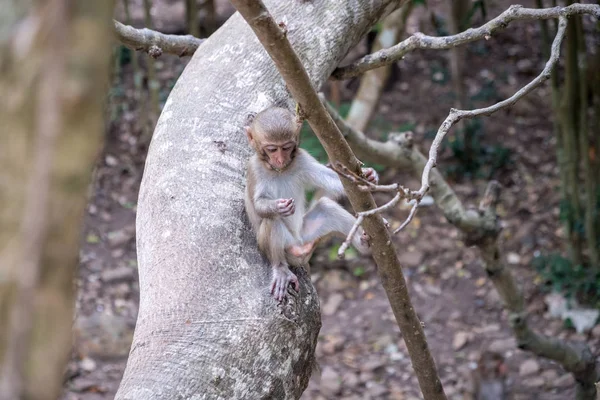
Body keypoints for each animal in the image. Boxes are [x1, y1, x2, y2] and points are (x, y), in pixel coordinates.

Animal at [243, 106, 376, 300]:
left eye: (286, 147)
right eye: (272, 149)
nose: (280, 159)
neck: (278, 170)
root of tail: (300, 248)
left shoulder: (301, 158)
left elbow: (333, 180)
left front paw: (369, 176)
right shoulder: (254, 169)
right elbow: (259, 205)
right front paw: (277, 206)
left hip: (308, 234)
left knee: (327, 206)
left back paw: (363, 242)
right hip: (287, 247)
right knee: (271, 220)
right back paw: (280, 269)